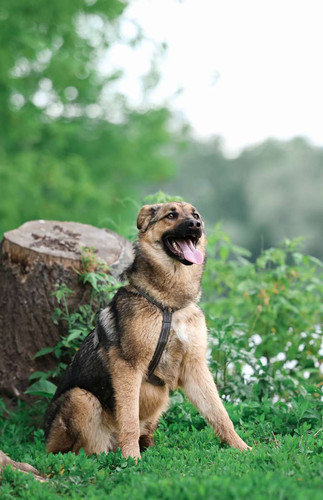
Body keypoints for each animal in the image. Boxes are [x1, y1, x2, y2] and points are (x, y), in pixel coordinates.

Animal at [44, 201, 251, 458]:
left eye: (196, 215)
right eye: (171, 215)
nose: (196, 225)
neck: (169, 305)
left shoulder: (194, 368)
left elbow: (219, 413)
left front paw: (241, 447)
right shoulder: (128, 367)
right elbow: (129, 419)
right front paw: (132, 459)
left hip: (159, 401)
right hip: (80, 398)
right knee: (75, 451)